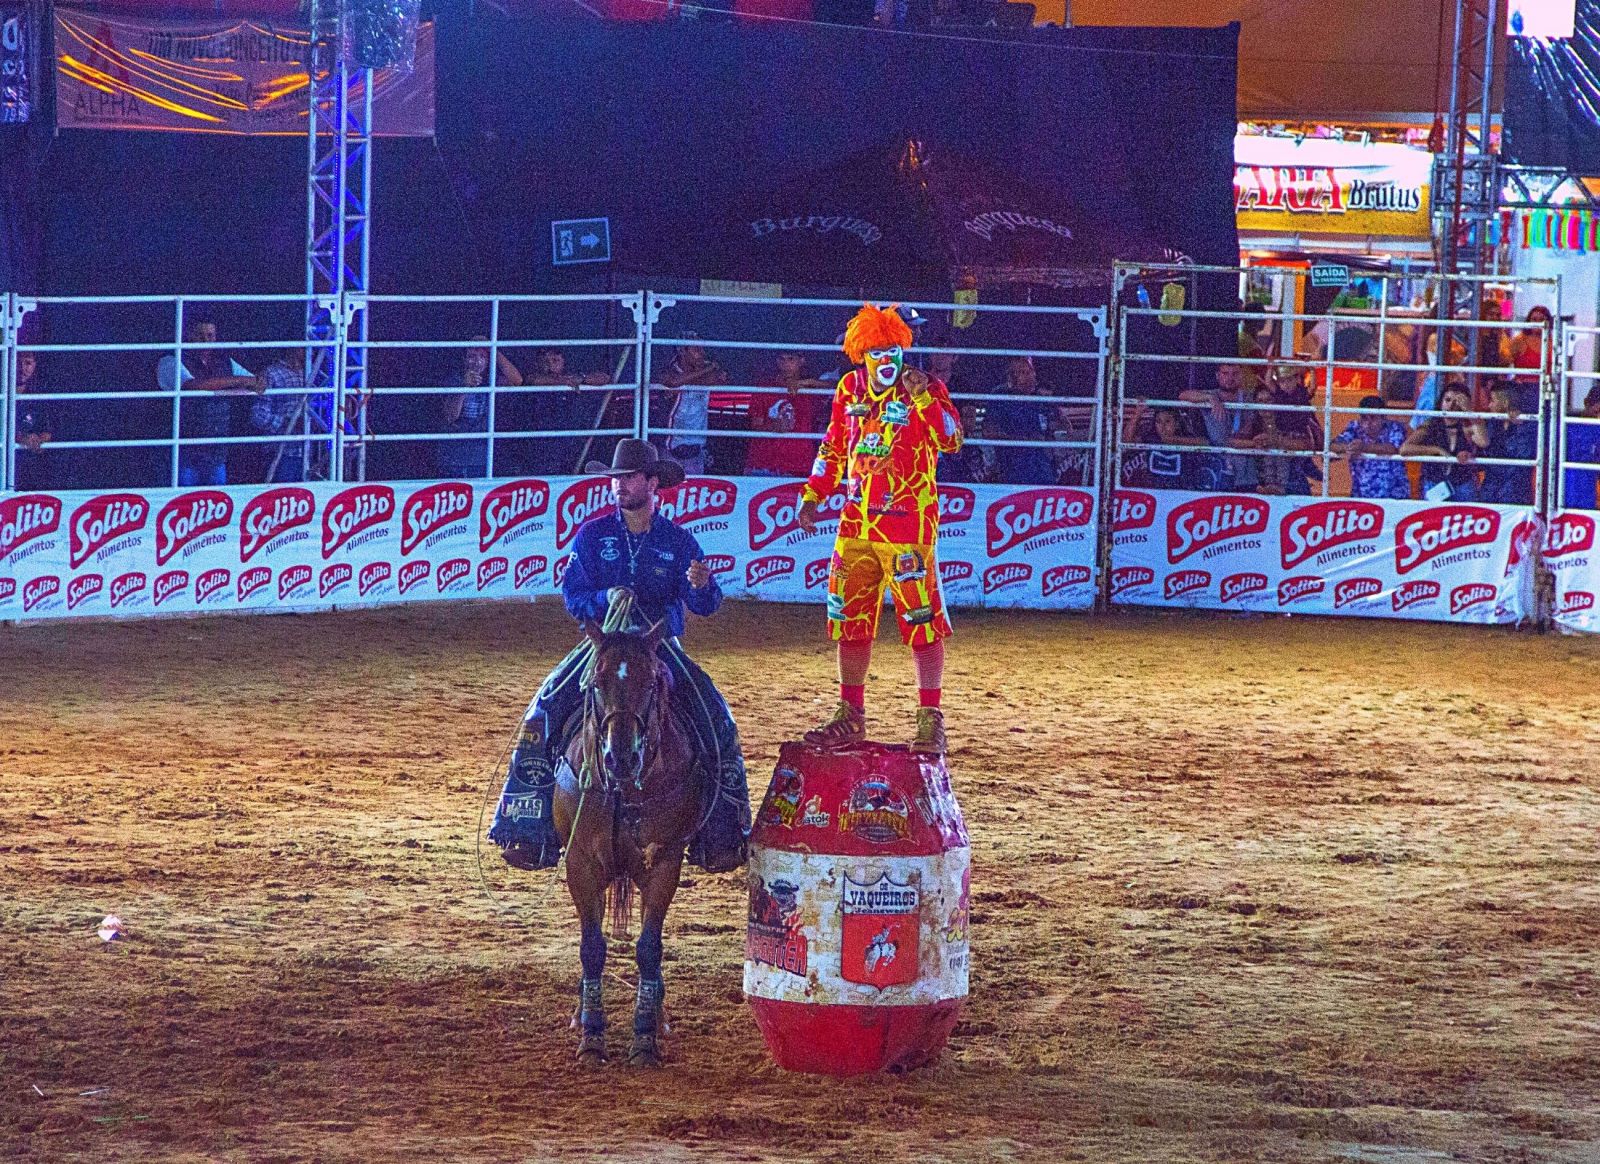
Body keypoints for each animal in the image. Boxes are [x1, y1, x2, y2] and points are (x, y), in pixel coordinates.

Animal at [556, 623, 707, 1068]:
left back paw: (657, 1015)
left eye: (653, 681)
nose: (620, 757)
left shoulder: (663, 865)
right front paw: (591, 1036)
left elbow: (648, 949)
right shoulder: (580, 864)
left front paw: (644, 1038)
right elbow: (592, 948)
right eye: (596, 681)